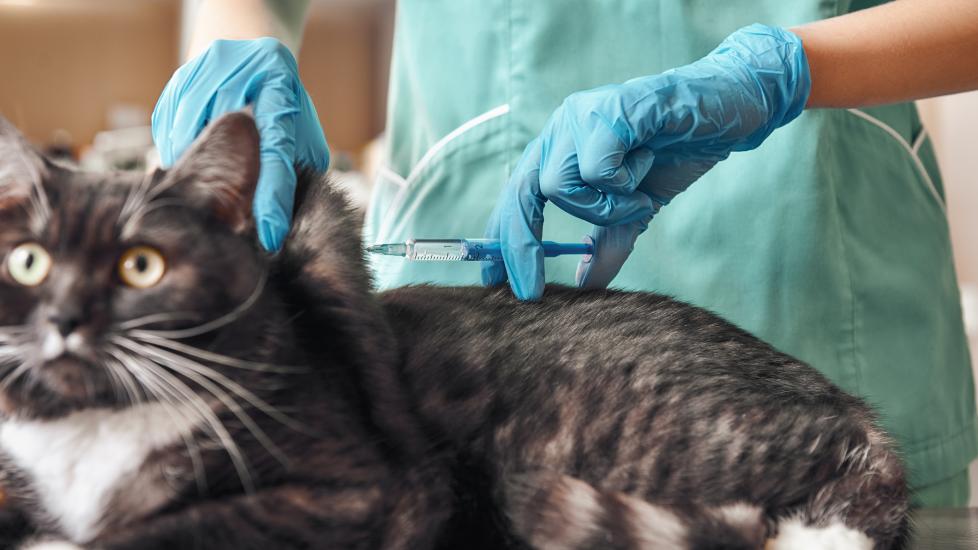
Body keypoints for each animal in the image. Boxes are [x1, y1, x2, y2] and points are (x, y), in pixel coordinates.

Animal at [0, 110, 908, 548]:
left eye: (141, 266)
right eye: (30, 263)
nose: (66, 319)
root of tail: (864, 419)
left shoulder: (365, 492)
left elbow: (159, 530)